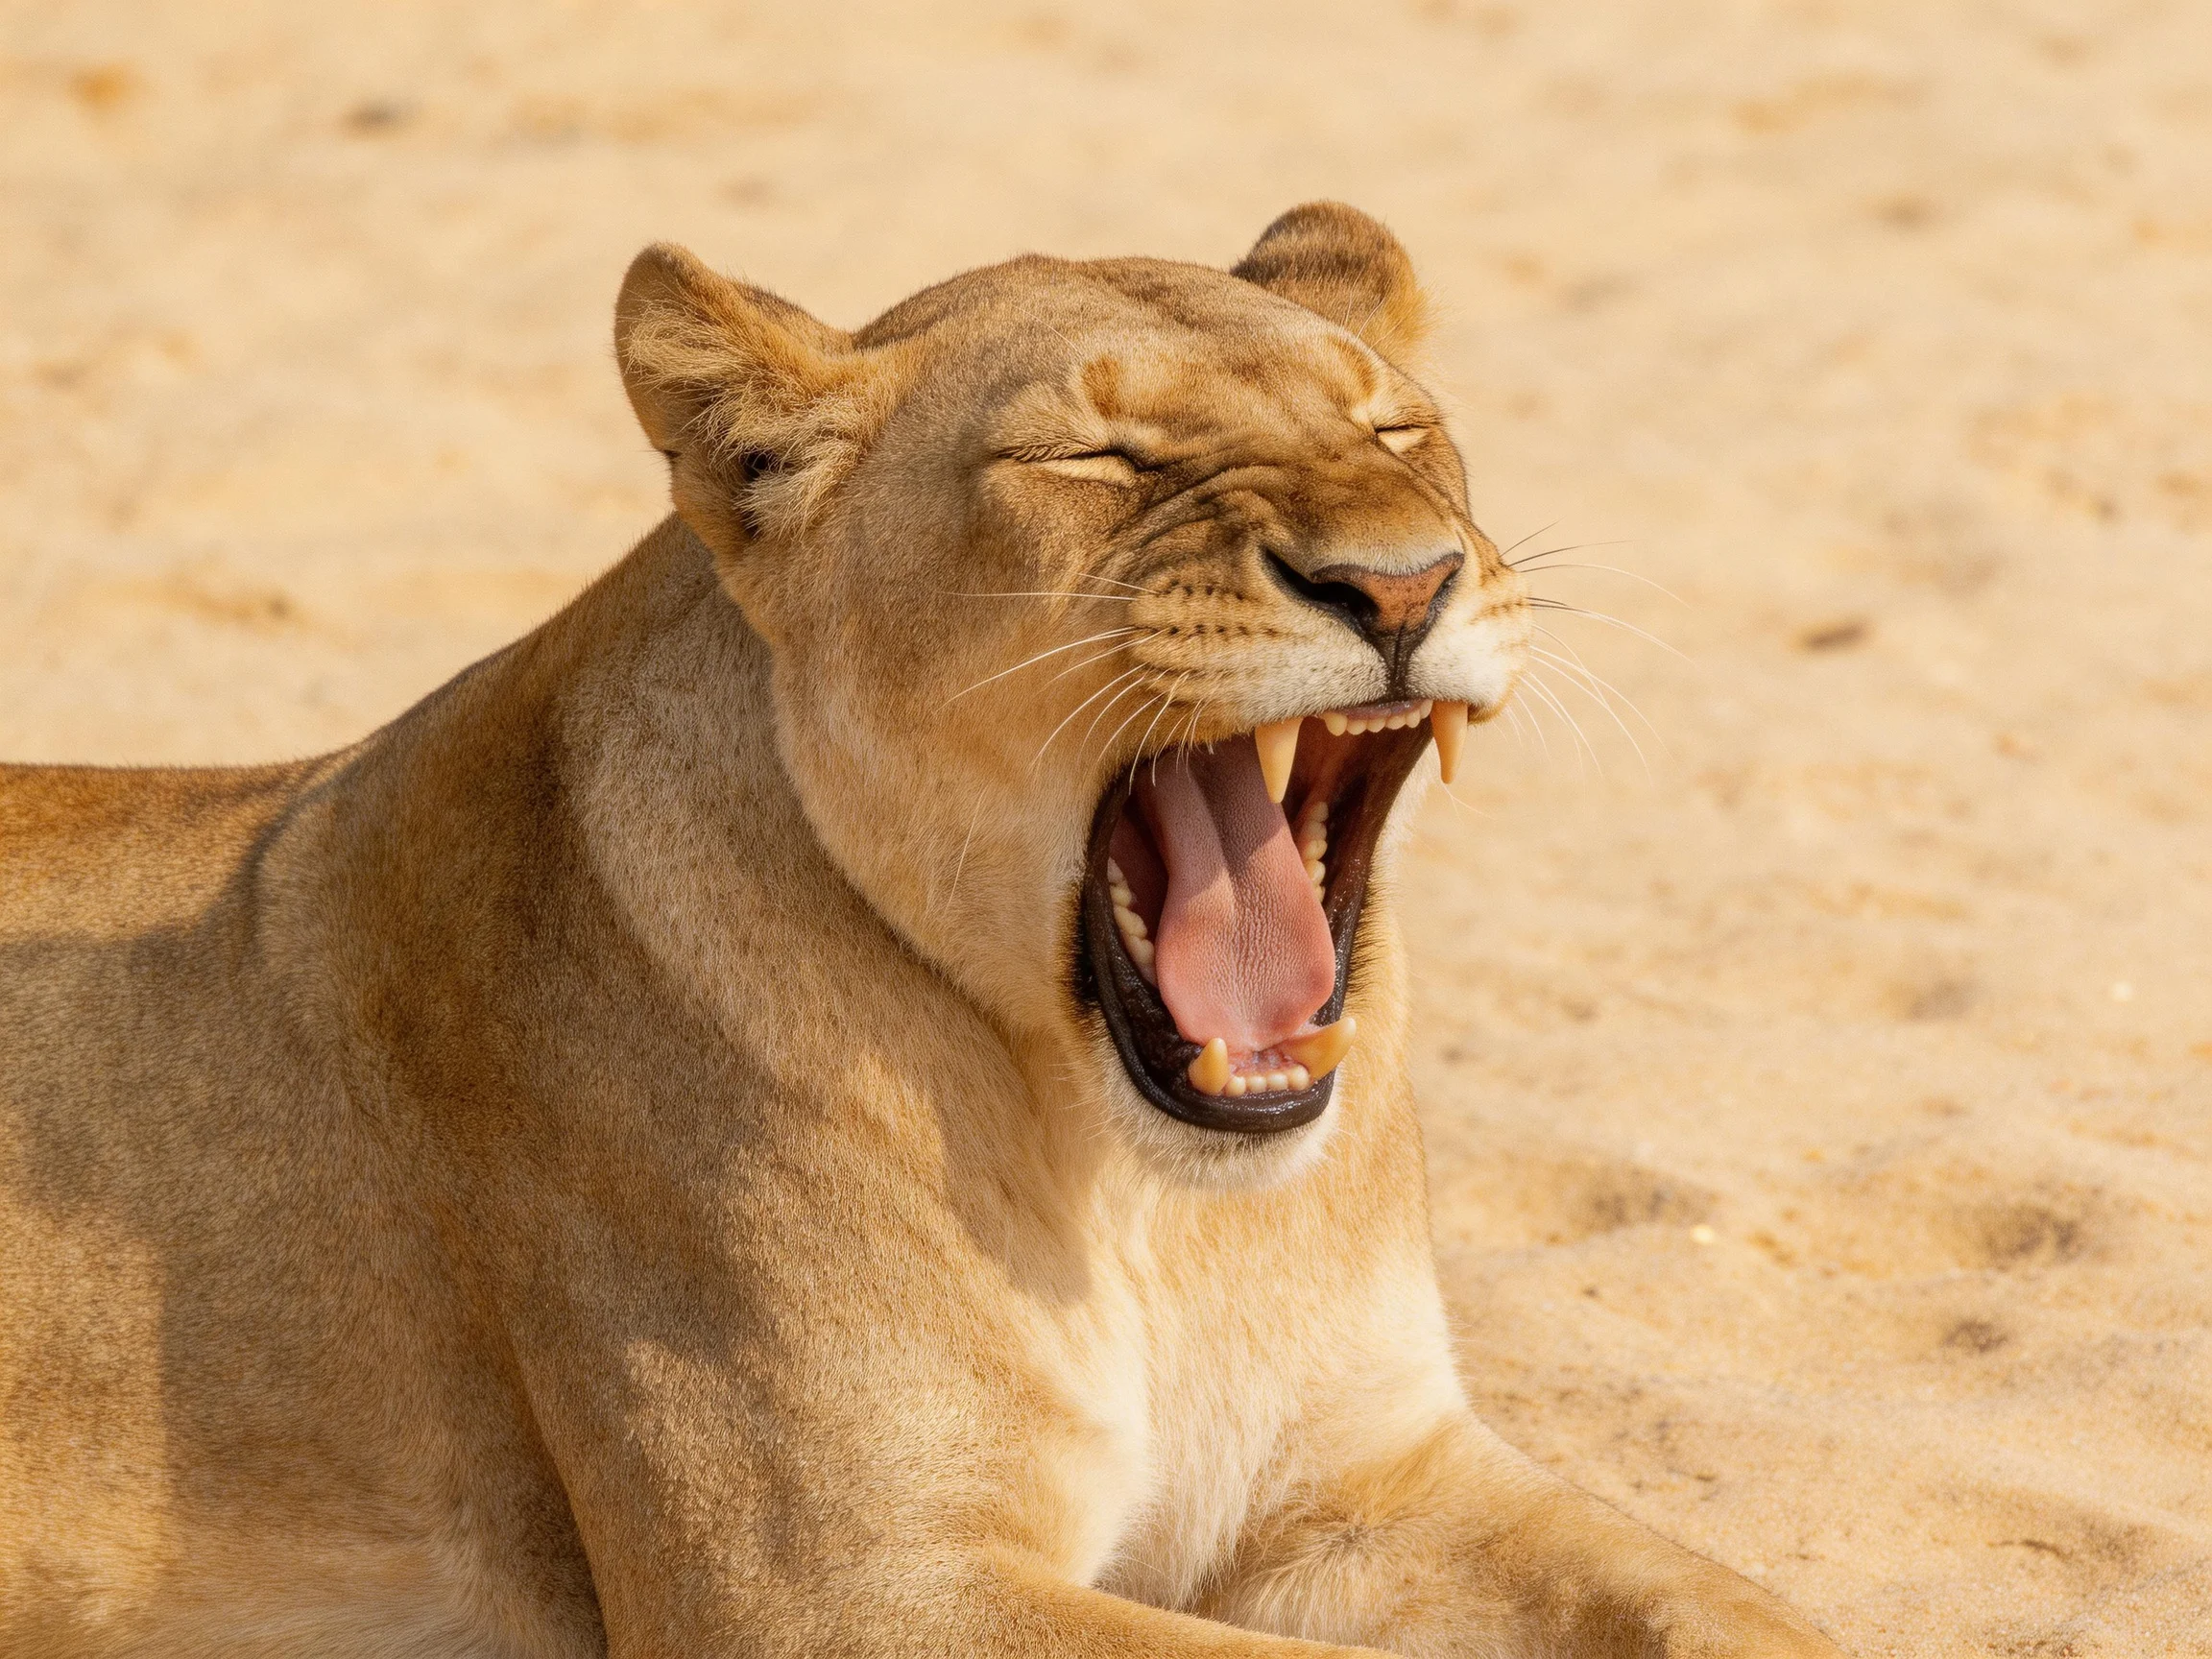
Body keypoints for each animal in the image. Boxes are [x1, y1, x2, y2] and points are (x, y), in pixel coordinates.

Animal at [0, 203, 1844, 1657]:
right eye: (1094, 459)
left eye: (1398, 430)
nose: (1398, 584)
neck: (1139, 1198)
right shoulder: (841, 1589)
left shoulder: (1353, 1480)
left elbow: (1739, 1605)